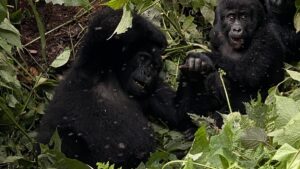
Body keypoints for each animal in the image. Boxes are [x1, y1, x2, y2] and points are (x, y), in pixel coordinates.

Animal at [36, 6, 189, 169]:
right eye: (142, 58)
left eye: (154, 67)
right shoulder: (95, 61)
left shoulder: (154, 86)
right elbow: (108, 23)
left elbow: (179, 113)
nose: (148, 73)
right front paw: (159, 37)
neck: (119, 79)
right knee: (64, 140)